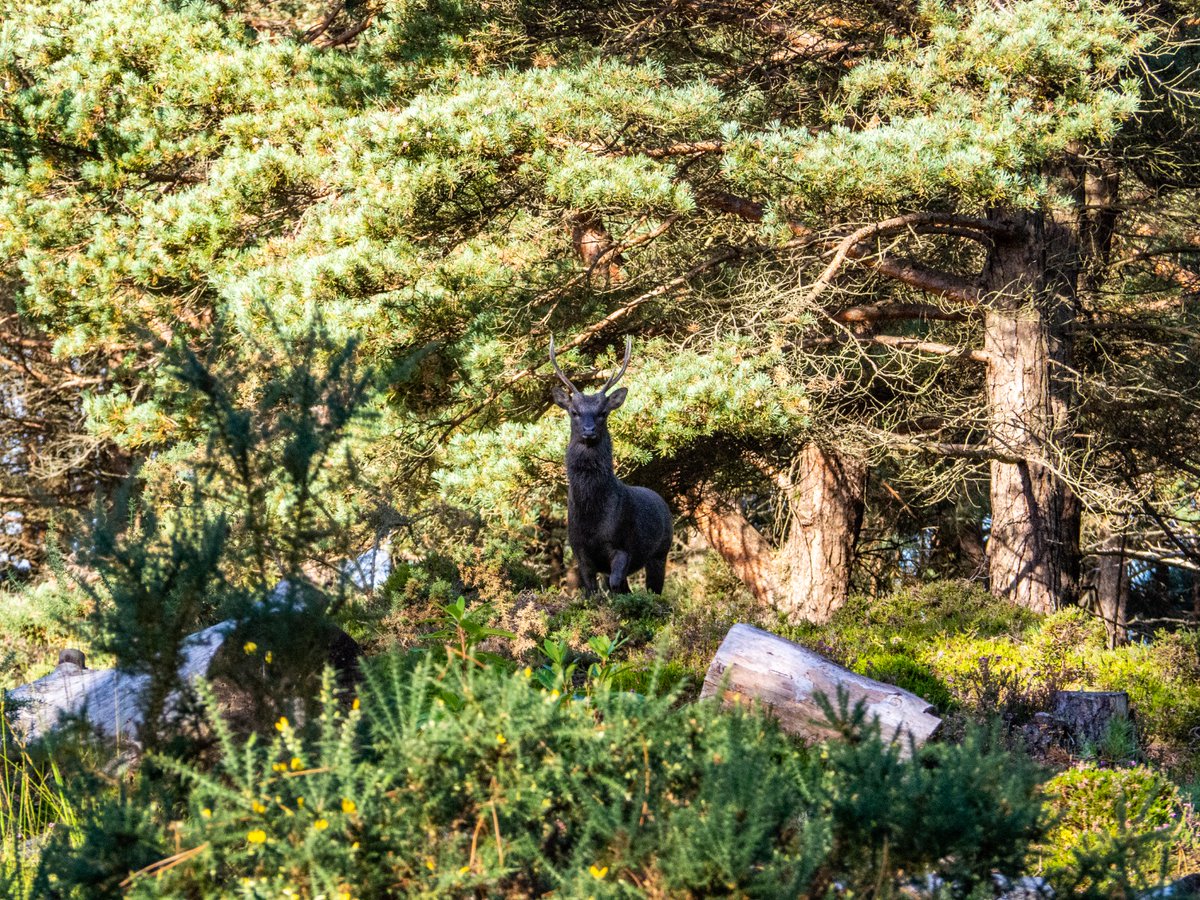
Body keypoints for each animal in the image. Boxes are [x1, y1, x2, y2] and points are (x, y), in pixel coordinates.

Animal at [549, 336, 672, 595]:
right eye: (574, 412)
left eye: (603, 412)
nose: (588, 431)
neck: (592, 518)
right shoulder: (579, 552)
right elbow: (591, 591)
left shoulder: (623, 546)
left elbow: (615, 584)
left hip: (661, 551)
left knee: (653, 589)